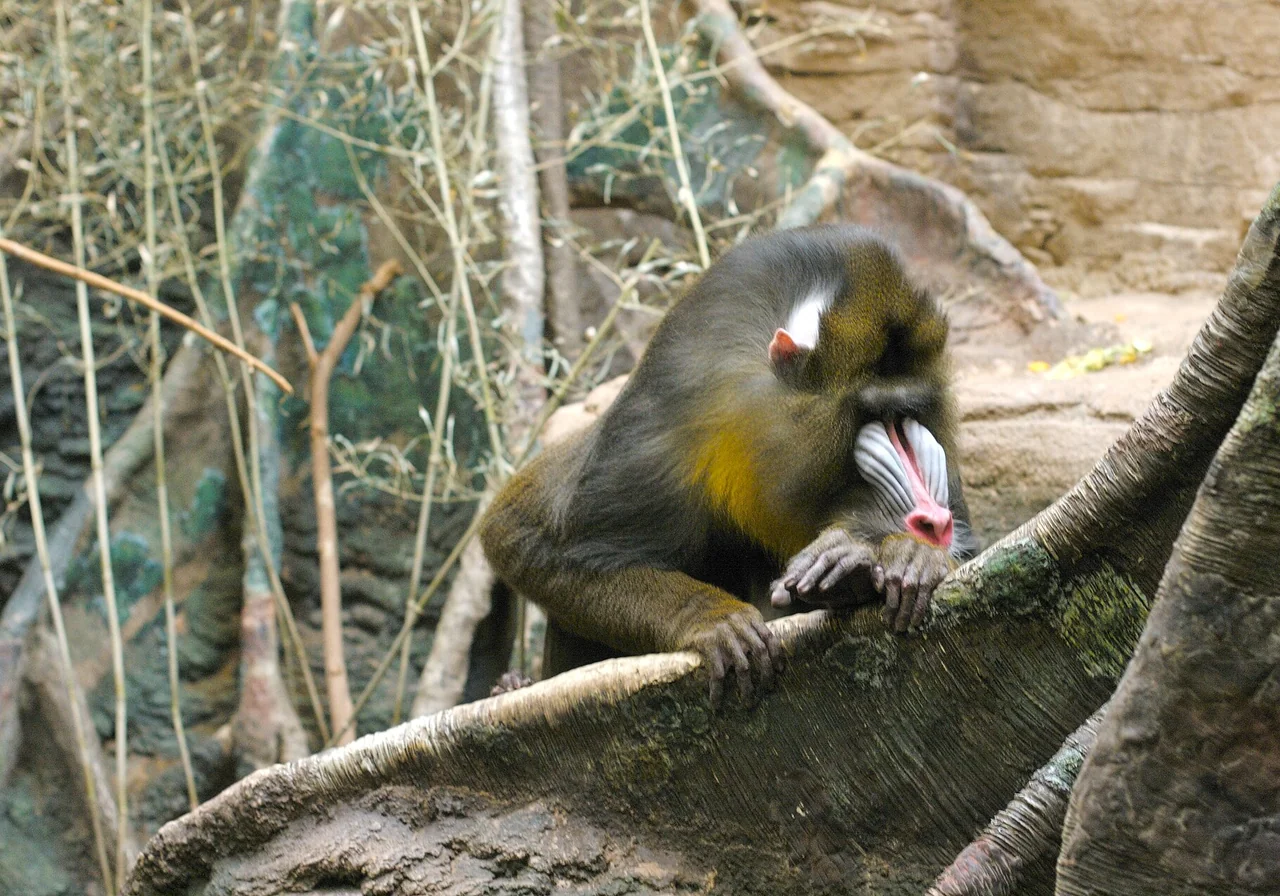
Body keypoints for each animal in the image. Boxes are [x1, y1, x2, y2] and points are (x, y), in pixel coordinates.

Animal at [480, 225, 979, 705]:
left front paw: (897, 558)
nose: (933, 520)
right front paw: (713, 619)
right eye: (872, 415)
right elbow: (536, 542)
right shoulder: (662, 425)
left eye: (908, 415)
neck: (757, 422)